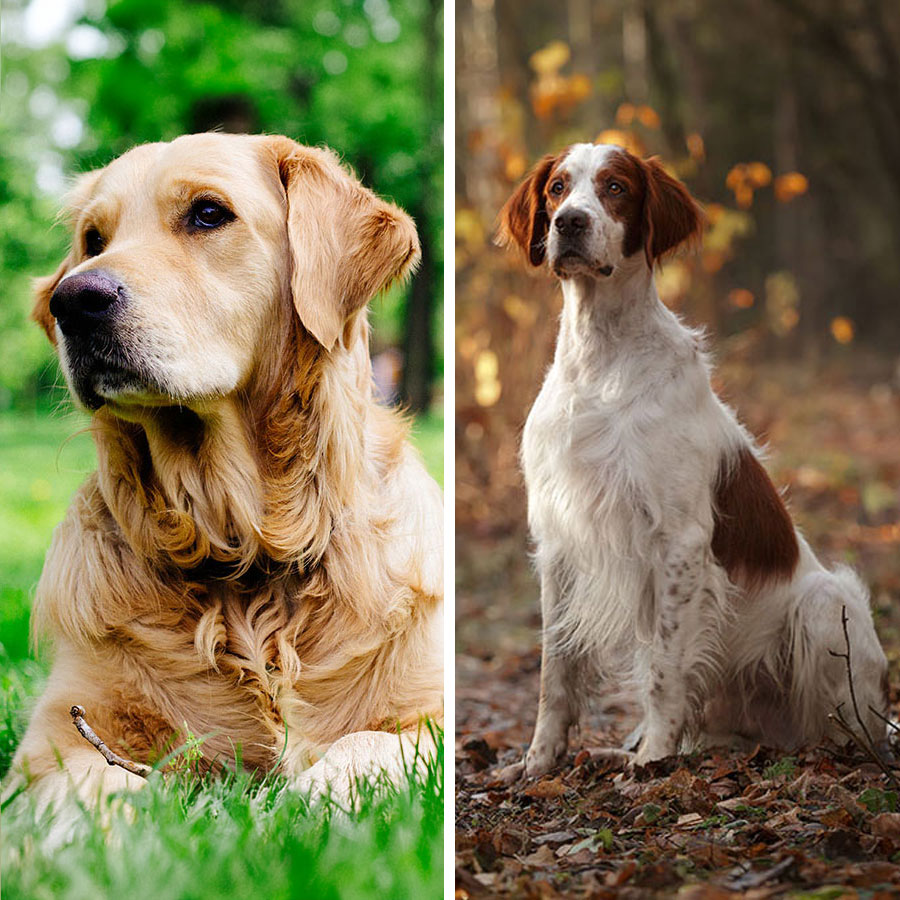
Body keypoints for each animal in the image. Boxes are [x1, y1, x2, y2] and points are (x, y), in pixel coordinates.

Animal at [7, 135, 442, 824]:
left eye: (208, 214)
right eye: (93, 239)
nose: (72, 301)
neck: (244, 547)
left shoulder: (428, 710)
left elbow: (369, 743)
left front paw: (303, 806)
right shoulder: (55, 738)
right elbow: (92, 787)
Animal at [500, 141, 884, 772]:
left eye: (615, 188)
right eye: (557, 188)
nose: (569, 223)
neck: (604, 356)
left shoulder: (678, 539)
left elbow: (663, 668)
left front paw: (653, 758)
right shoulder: (558, 540)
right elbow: (555, 671)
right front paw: (539, 761)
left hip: (828, 602)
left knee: (842, 727)